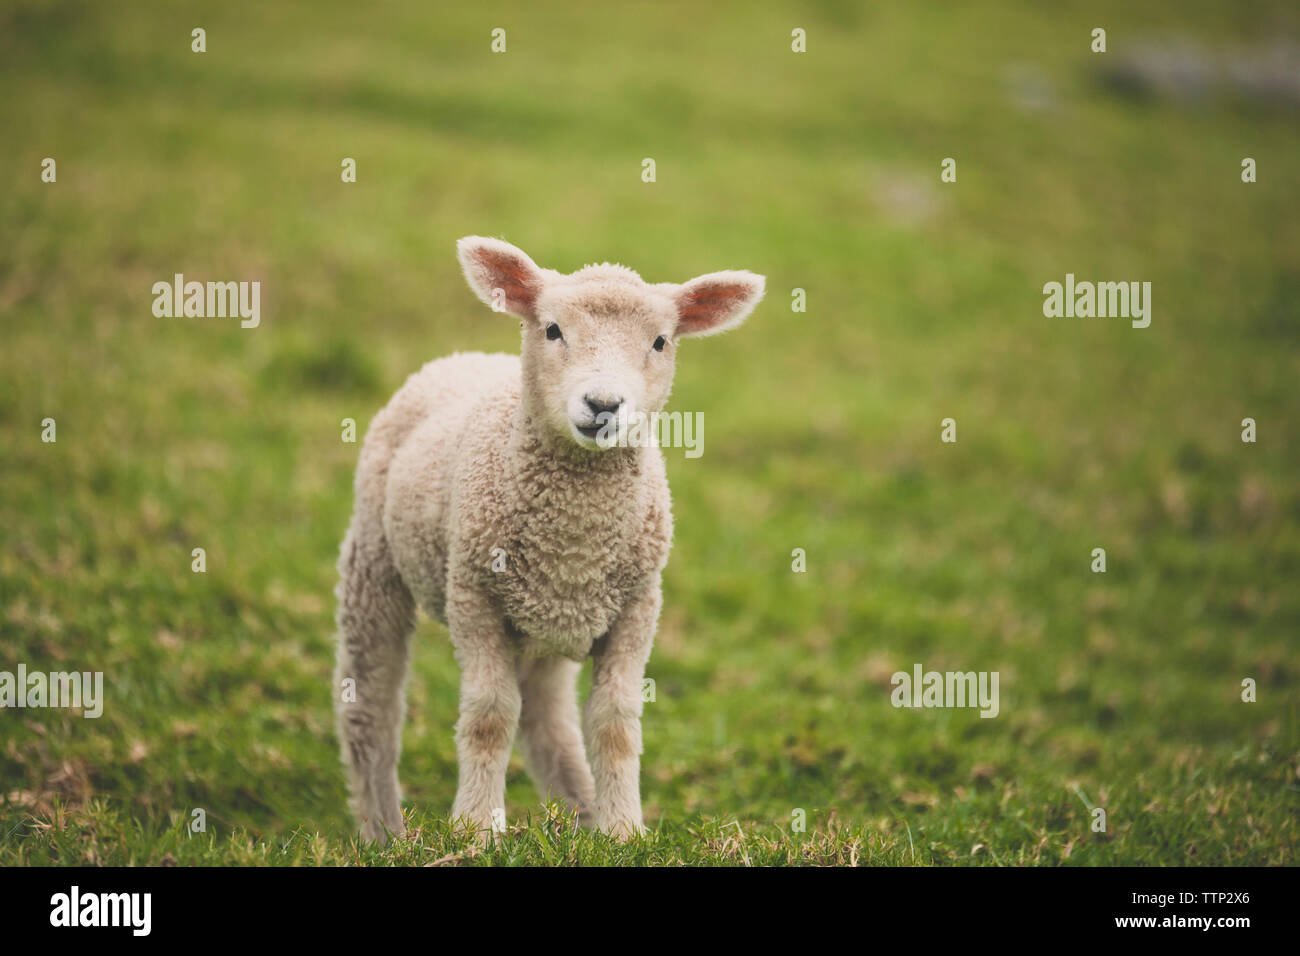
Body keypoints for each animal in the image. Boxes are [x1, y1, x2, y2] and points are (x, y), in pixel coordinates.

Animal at [334, 236, 765, 843]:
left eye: (660, 341)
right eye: (553, 329)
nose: (603, 405)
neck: (573, 545)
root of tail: (463, 357)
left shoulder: (637, 607)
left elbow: (614, 723)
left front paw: (621, 831)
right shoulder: (473, 597)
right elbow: (490, 716)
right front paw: (476, 829)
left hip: (545, 630)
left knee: (546, 718)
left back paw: (581, 813)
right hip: (374, 557)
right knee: (371, 701)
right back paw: (383, 831)